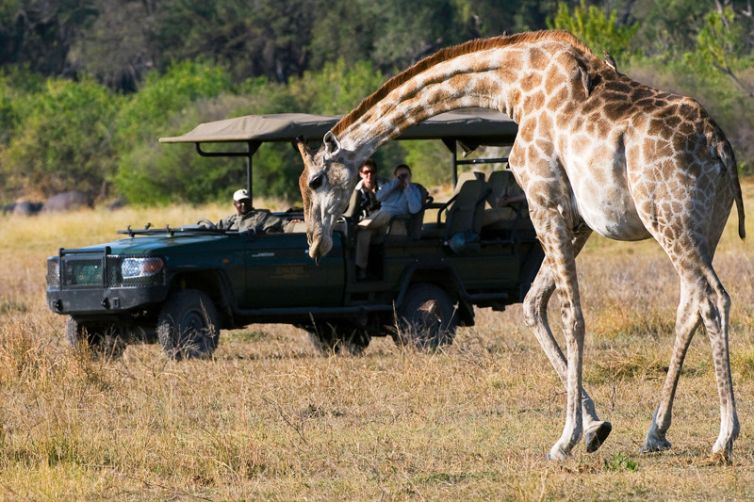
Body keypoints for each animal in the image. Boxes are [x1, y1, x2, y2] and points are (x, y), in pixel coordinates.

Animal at [295, 30, 745, 461]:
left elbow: (572, 317)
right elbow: (532, 305)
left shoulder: (545, 203)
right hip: (703, 227)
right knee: (690, 304)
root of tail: (719, 144)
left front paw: (566, 439)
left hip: (668, 218)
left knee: (714, 299)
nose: (315, 243)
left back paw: (724, 437)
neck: (513, 86)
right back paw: (657, 432)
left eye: (315, 181)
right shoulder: (578, 220)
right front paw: (594, 427)